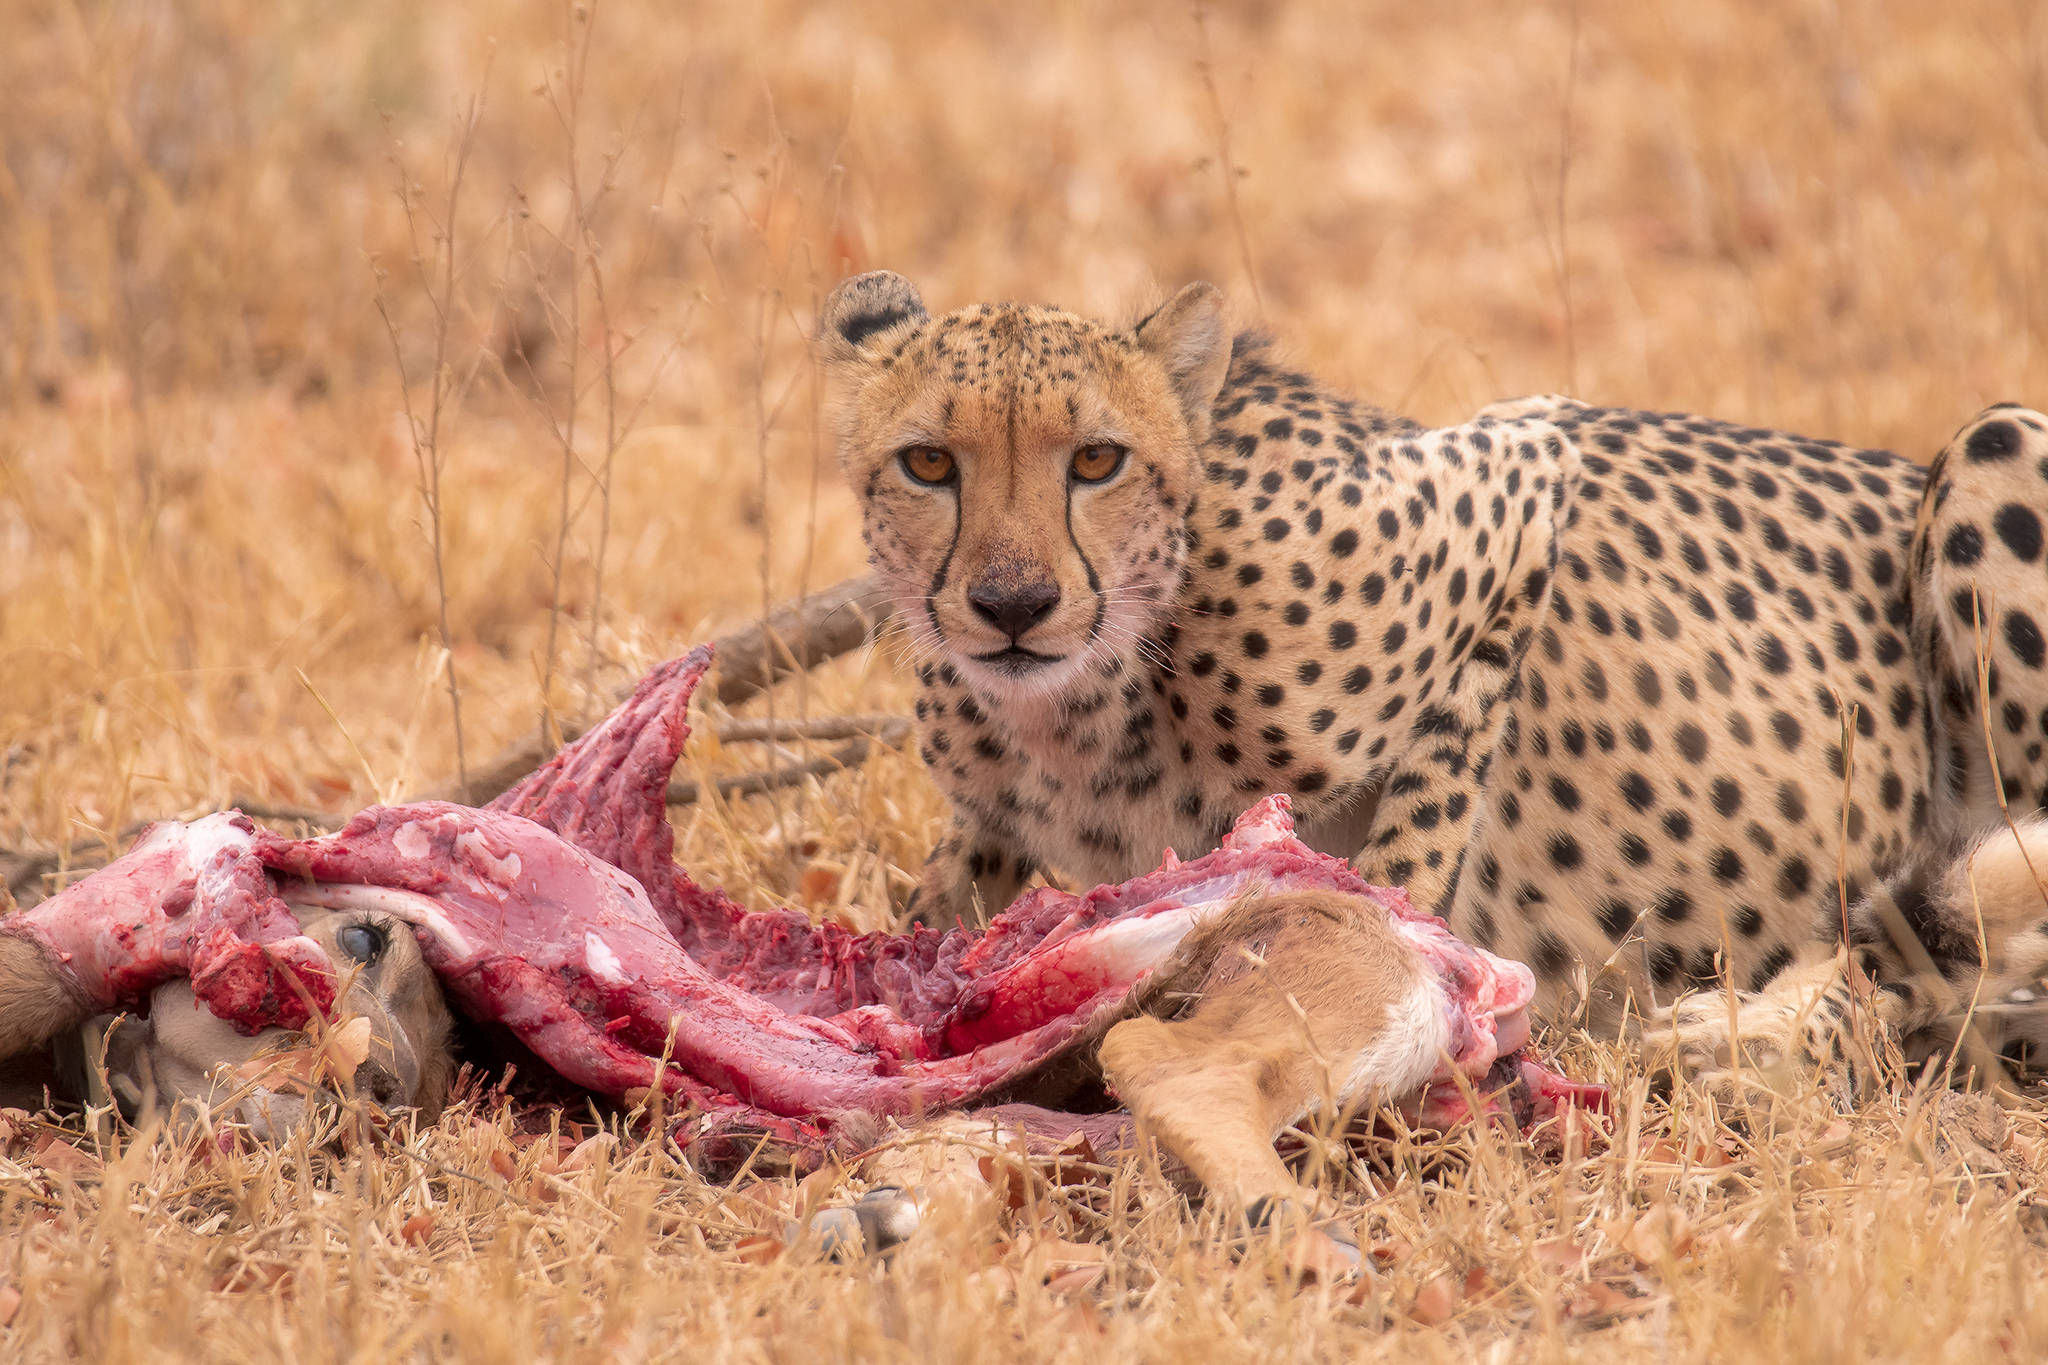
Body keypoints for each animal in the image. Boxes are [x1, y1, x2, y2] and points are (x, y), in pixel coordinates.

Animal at [817, 269, 2048, 1101]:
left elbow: (1407, 851)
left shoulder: (1514, 477)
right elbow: (944, 895)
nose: (1012, 605)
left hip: (1999, 441)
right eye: (928, 463)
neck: (1085, 702)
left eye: (1095, 461)